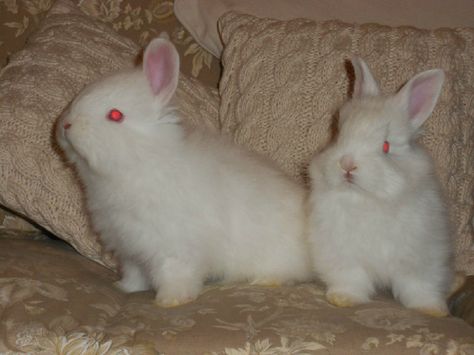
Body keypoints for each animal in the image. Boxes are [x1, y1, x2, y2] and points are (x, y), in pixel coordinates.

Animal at [56, 36, 312, 308]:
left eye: (115, 115)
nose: (66, 125)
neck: (142, 161)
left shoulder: (174, 249)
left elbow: (175, 275)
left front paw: (170, 300)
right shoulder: (131, 250)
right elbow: (134, 274)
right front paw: (125, 288)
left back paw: (264, 280)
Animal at [310, 57, 454, 318]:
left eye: (386, 146)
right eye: (339, 135)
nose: (347, 164)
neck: (369, 200)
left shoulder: (421, 259)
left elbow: (420, 286)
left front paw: (432, 309)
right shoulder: (342, 254)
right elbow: (351, 279)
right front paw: (343, 299)